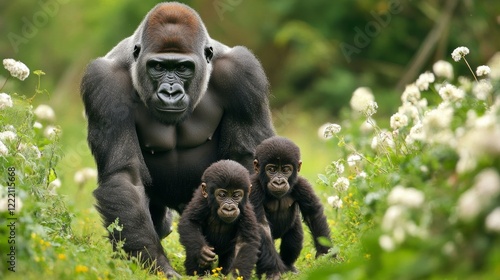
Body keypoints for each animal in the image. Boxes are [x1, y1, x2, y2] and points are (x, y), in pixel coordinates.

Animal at [80, 1, 274, 278]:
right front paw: (158, 264)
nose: (170, 92)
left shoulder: (243, 73)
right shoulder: (105, 83)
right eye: (158, 67)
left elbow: (247, 162)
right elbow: (125, 176)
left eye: (183, 68)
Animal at [250, 137, 332, 274]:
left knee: (294, 238)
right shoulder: (253, 190)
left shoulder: (302, 185)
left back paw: (289, 266)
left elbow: (313, 214)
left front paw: (325, 255)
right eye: (271, 170)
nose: (279, 182)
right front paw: (274, 271)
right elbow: (261, 226)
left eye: (285, 170)